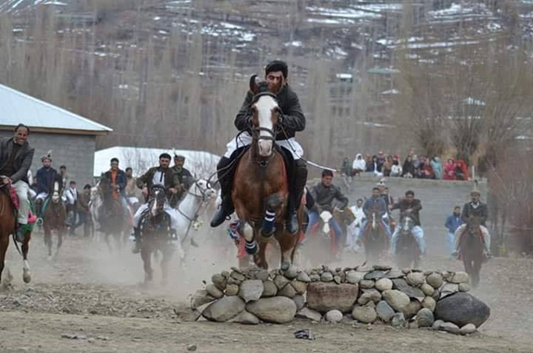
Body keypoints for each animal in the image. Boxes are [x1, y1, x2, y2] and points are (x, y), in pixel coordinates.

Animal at [232, 77, 302, 270]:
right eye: (253, 109)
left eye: (277, 110)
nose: (265, 147)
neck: (262, 164)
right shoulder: (238, 199)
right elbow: (247, 228)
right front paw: (251, 248)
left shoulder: (282, 195)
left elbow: (271, 202)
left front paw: (266, 230)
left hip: (293, 227)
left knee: (287, 249)